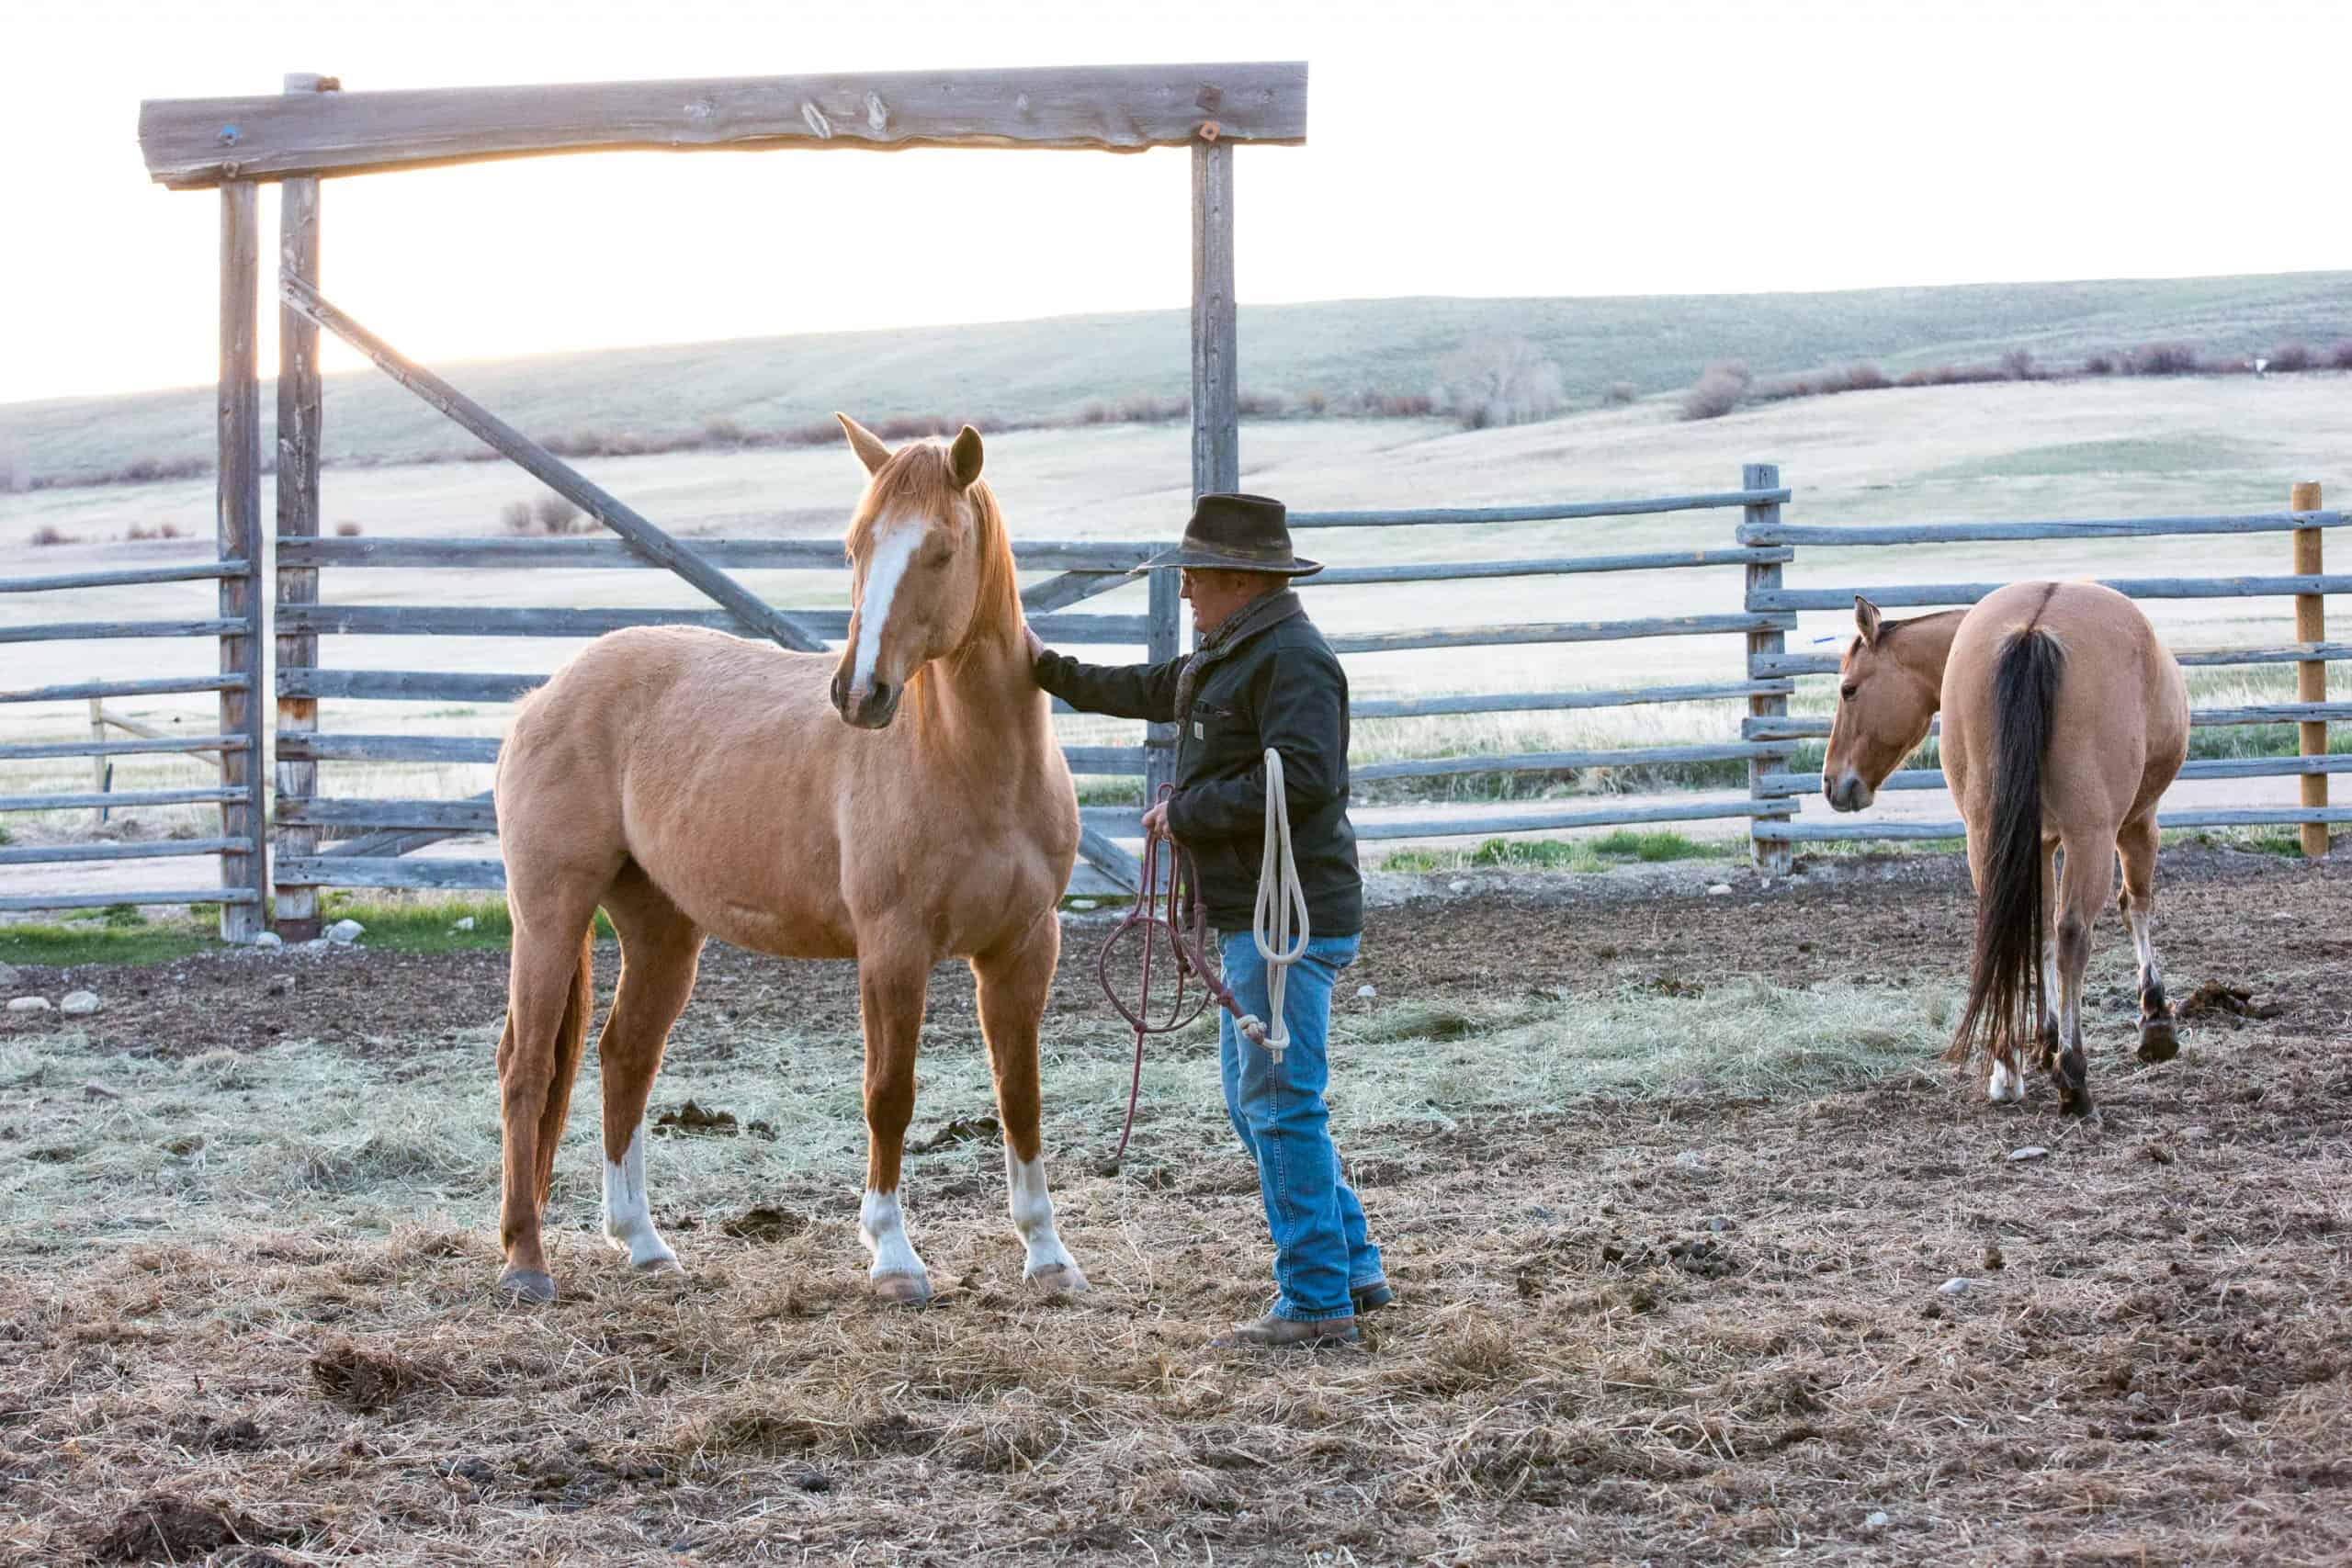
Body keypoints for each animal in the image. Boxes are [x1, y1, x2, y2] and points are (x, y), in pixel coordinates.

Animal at [487, 415, 1088, 1305]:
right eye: (854, 546)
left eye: (941, 550)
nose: (859, 694)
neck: (973, 762)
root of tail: (544, 694)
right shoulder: (893, 949)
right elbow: (890, 1095)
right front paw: (893, 1256)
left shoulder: (1024, 947)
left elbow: (1021, 1096)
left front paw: (1047, 1254)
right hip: (549, 916)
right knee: (527, 1068)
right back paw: (527, 1260)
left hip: (662, 931)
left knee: (624, 1056)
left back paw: (643, 1242)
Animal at [1822, 582, 2190, 1116]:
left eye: (1849, 689)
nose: (1832, 782)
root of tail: (2031, 628)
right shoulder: (2137, 823)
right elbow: (2132, 906)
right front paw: (2155, 1021)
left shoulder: (2039, 842)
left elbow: (2039, 932)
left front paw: (2044, 1039)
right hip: (2091, 834)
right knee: (2076, 931)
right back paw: (2073, 1078)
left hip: (1987, 833)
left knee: (2009, 925)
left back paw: (2006, 1068)